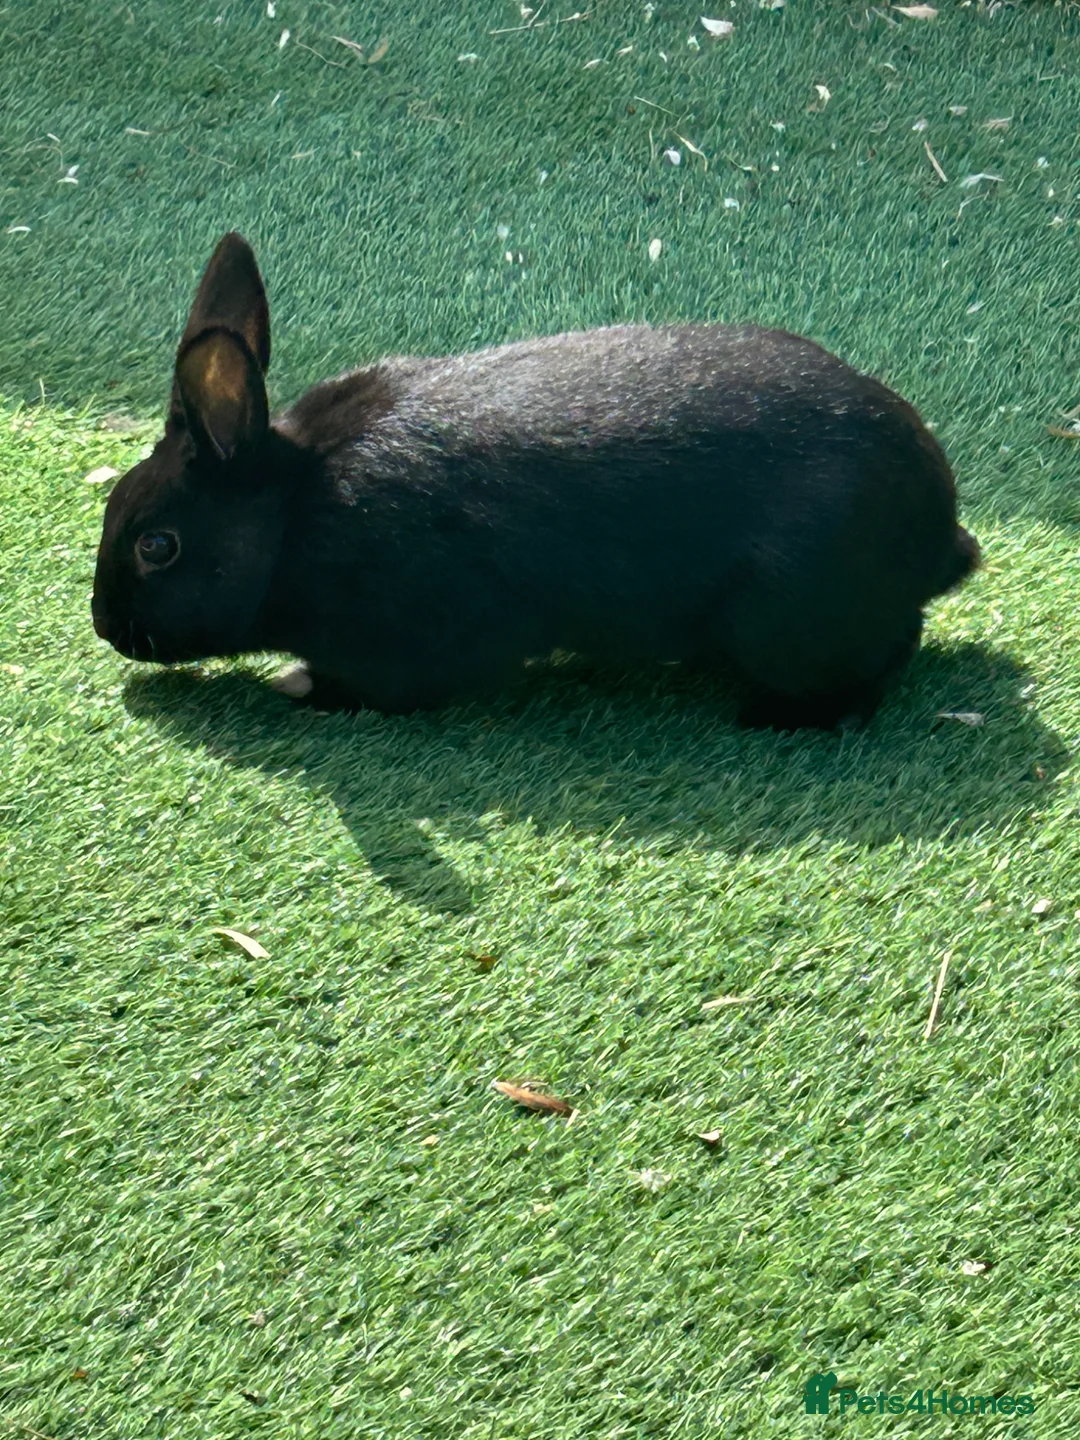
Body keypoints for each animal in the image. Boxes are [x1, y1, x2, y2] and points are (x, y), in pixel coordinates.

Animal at [91, 231, 980, 731]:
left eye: (158, 546)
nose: (105, 627)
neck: (294, 515)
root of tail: (943, 534)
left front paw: (297, 685)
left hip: (786, 619)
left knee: (883, 658)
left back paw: (776, 719)